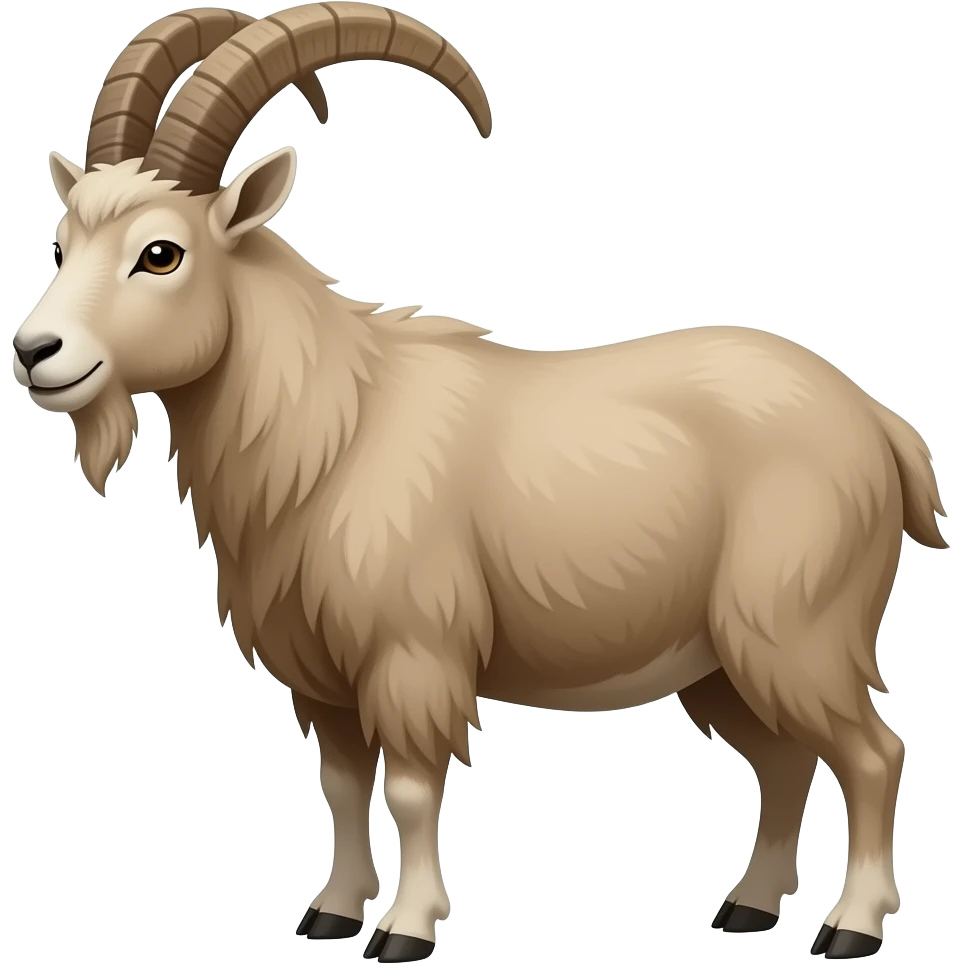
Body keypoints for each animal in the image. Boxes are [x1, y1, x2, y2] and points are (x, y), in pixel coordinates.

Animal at [13, 5, 948, 962]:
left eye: (161, 253)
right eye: (62, 241)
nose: (36, 352)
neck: (333, 430)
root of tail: (880, 427)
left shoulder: (411, 655)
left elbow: (411, 787)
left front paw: (405, 930)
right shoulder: (323, 681)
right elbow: (342, 786)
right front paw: (331, 914)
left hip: (796, 629)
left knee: (873, 754)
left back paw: (851, 927)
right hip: (722, 655)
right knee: (786, 759)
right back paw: (750, 907)